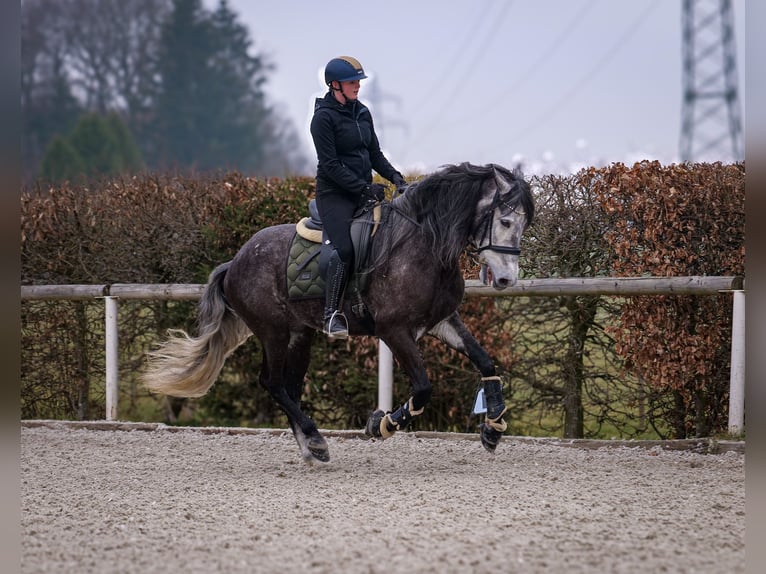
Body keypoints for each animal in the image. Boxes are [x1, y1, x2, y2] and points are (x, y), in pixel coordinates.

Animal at [146, 161, 540, 464]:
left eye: (524, 225)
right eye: (506, 222)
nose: (506, 279)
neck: (423, 246)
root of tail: (235, 262)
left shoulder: (441, 321)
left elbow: (484, 361)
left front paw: (493, 427)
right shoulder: (393, 330)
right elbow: (423, 388)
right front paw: (382, 424)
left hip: (300, 335)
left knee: (289, 387)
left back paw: (311, 447)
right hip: (273, 332)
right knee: (272, 383)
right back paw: (315, 438)